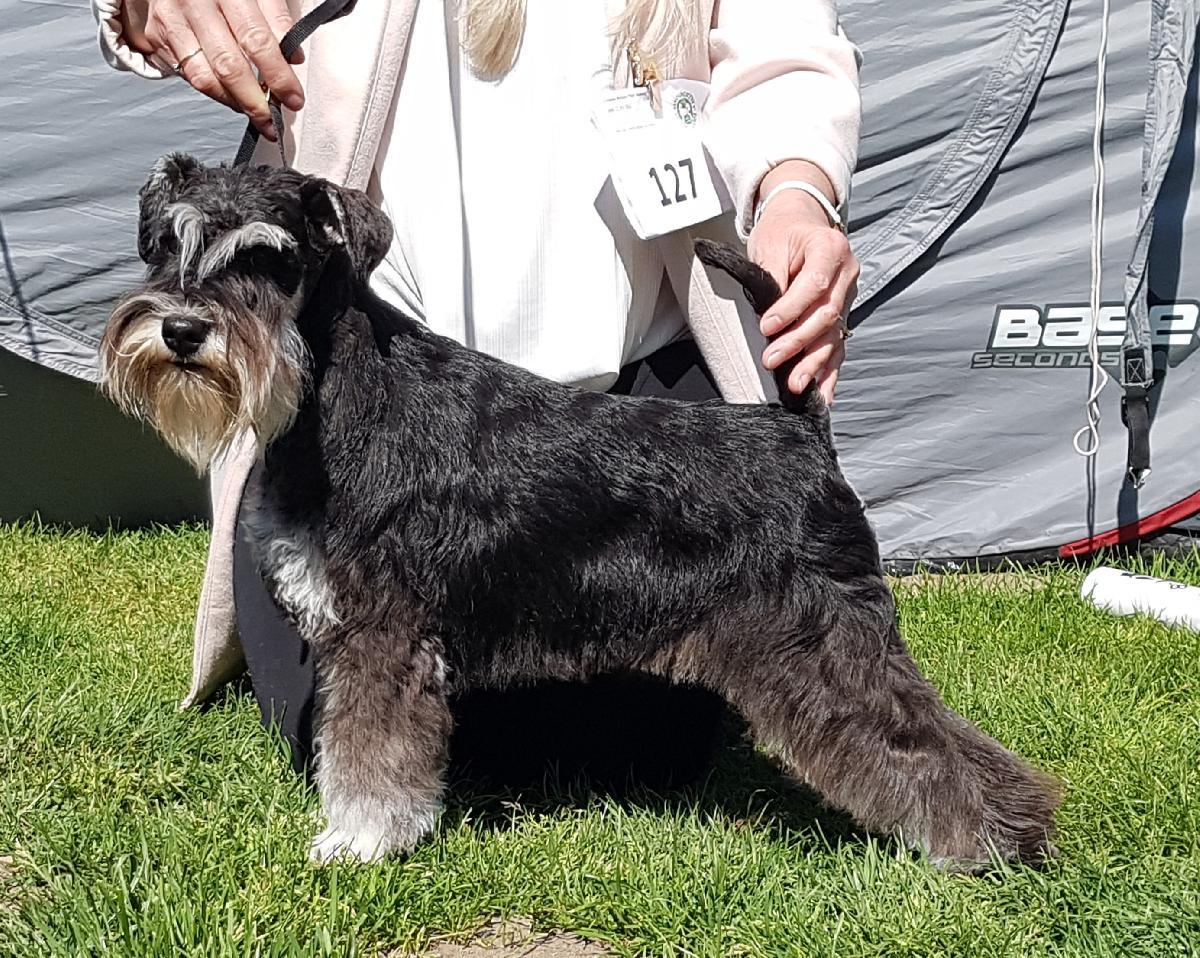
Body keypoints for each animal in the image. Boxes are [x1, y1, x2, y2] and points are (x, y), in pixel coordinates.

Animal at [100, 154, 1061, 867]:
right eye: (166, 245)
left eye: (269, 258)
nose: (181, 330)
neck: (335, 395)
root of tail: (800, 430)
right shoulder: (357, 634)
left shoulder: (384, 636)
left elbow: (371, 751)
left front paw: (361, 841)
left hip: (823, 640)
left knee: (921, 744)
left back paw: (990, 843)